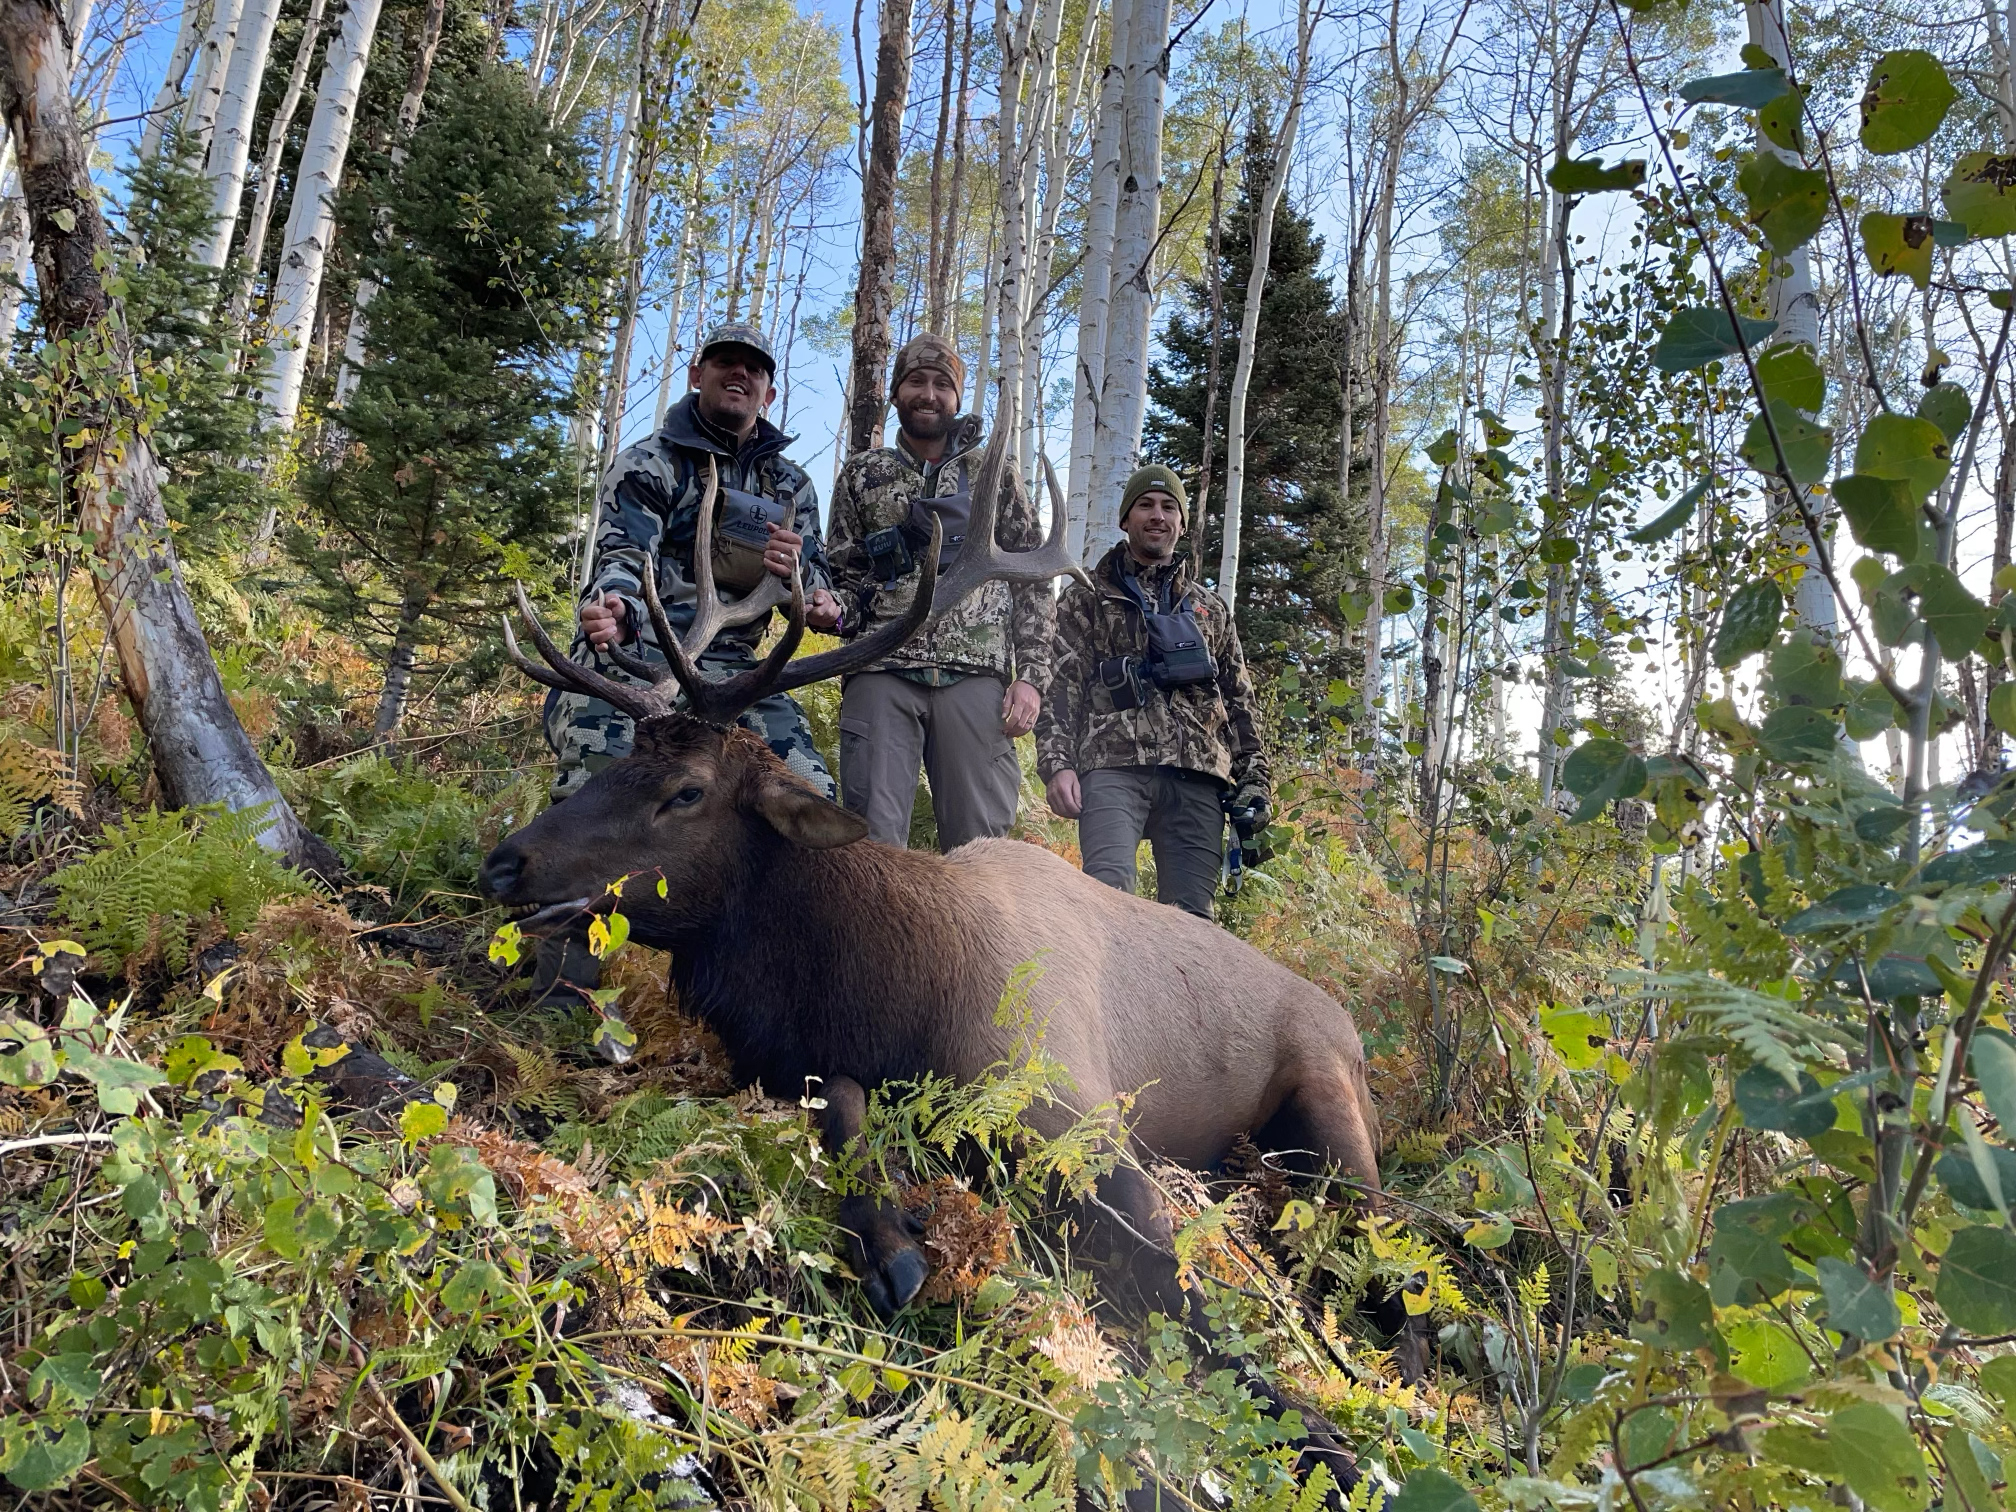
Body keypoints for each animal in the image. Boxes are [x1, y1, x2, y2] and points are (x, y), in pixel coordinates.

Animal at [480, 424, 1403, 1490]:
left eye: (687, 790)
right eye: (621, 755)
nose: (506, 860)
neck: (897, 987)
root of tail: (1352, 1025)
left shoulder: (1075, 1110)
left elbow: (1188, 1299)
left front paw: (1327, 1439)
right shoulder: (813, 1063)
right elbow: (844, 1122)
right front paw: (896, 1243)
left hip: (1335, 1115)